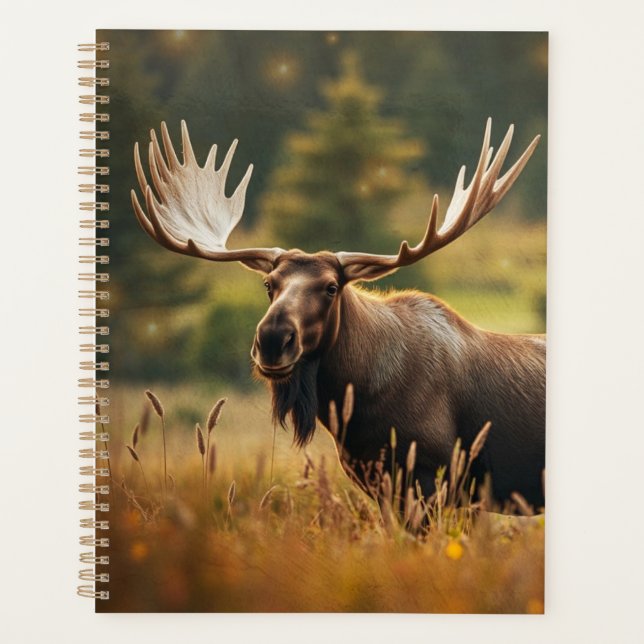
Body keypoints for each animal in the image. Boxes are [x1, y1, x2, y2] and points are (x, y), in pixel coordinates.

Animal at [131, 118, 545, 510]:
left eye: (331, 287)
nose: (272, 340)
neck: (360, 403)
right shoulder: (380, 482)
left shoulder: (439, 475)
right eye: (269, 284)